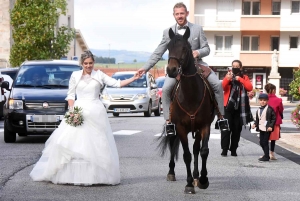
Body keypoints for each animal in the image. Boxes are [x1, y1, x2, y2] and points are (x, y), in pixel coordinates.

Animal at [158, 27, 214, 194]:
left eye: (185, 48)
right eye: (168, 48)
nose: (171, 70)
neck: (190, 94)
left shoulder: (204, 126)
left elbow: (203, 151)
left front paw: (203, 180)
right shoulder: (181, 128)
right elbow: (186, 155)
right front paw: (189, 184)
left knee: (196, 149)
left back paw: (196, 177)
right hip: (173, 127)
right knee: (172, 144)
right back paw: (171, 173)